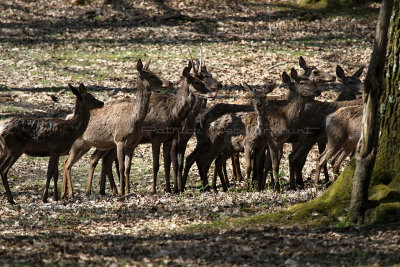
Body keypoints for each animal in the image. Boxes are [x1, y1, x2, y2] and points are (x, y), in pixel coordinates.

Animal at [62, 59, 162, 201]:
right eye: (150, 75)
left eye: (153, 73)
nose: (163, 83)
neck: (134, 118)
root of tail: (67, 117)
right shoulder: (120, 139)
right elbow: (120, 167)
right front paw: (121, 193)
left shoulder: (133, 144)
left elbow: (128, 168)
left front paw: (128, 190)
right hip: (78, 143)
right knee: (67, 164)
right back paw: (70, 194)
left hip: (85, 145)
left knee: (69, 162)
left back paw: (67, 193)